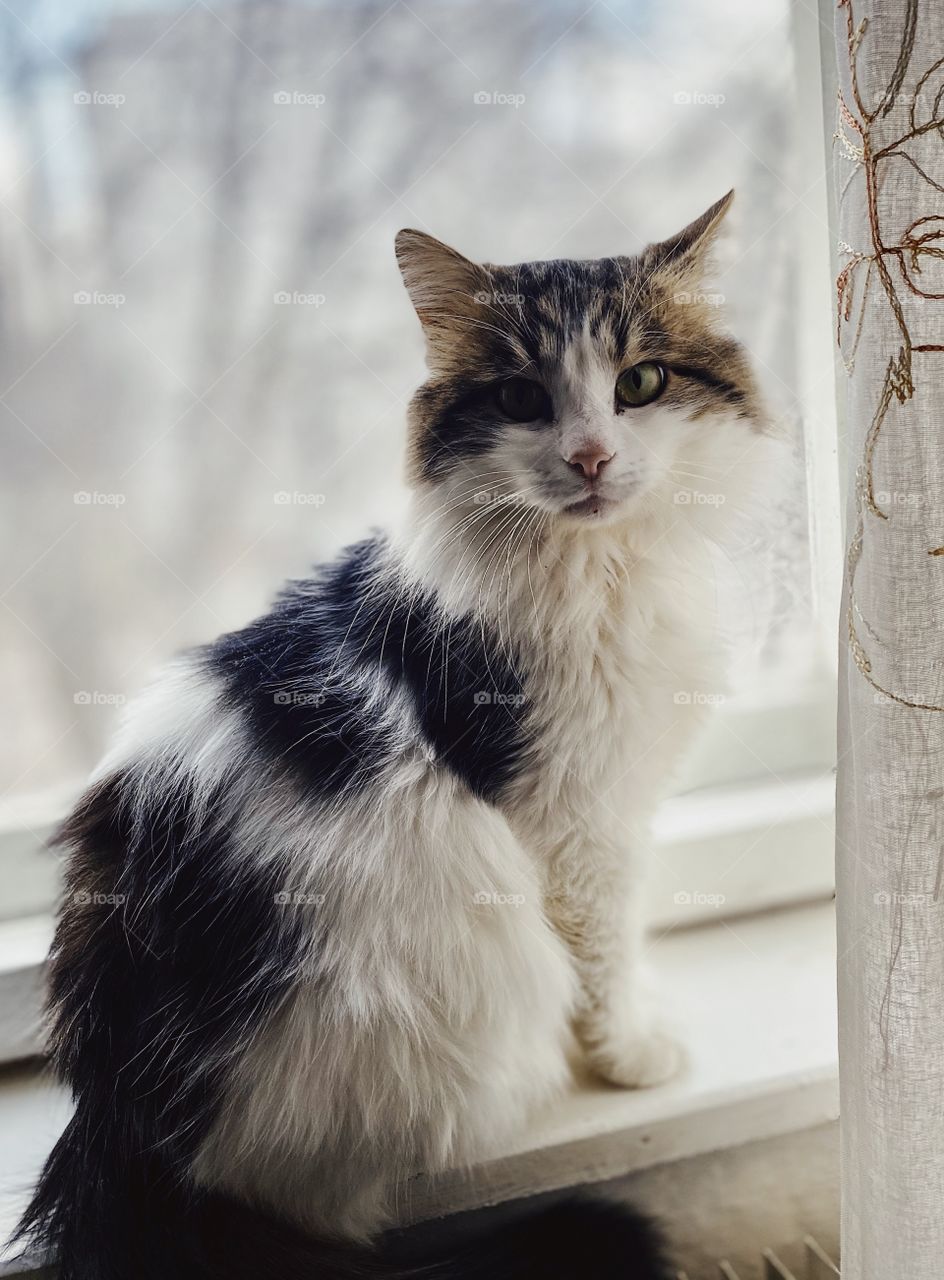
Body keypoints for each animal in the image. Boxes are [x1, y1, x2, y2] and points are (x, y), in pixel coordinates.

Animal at [14, 192, 767, 1280]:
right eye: (520, 398)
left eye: (640, 383)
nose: (588, 457)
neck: (598, 567)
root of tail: (128, 1138)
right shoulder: (574, 817)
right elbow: (603, 950)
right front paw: (629, 1053)